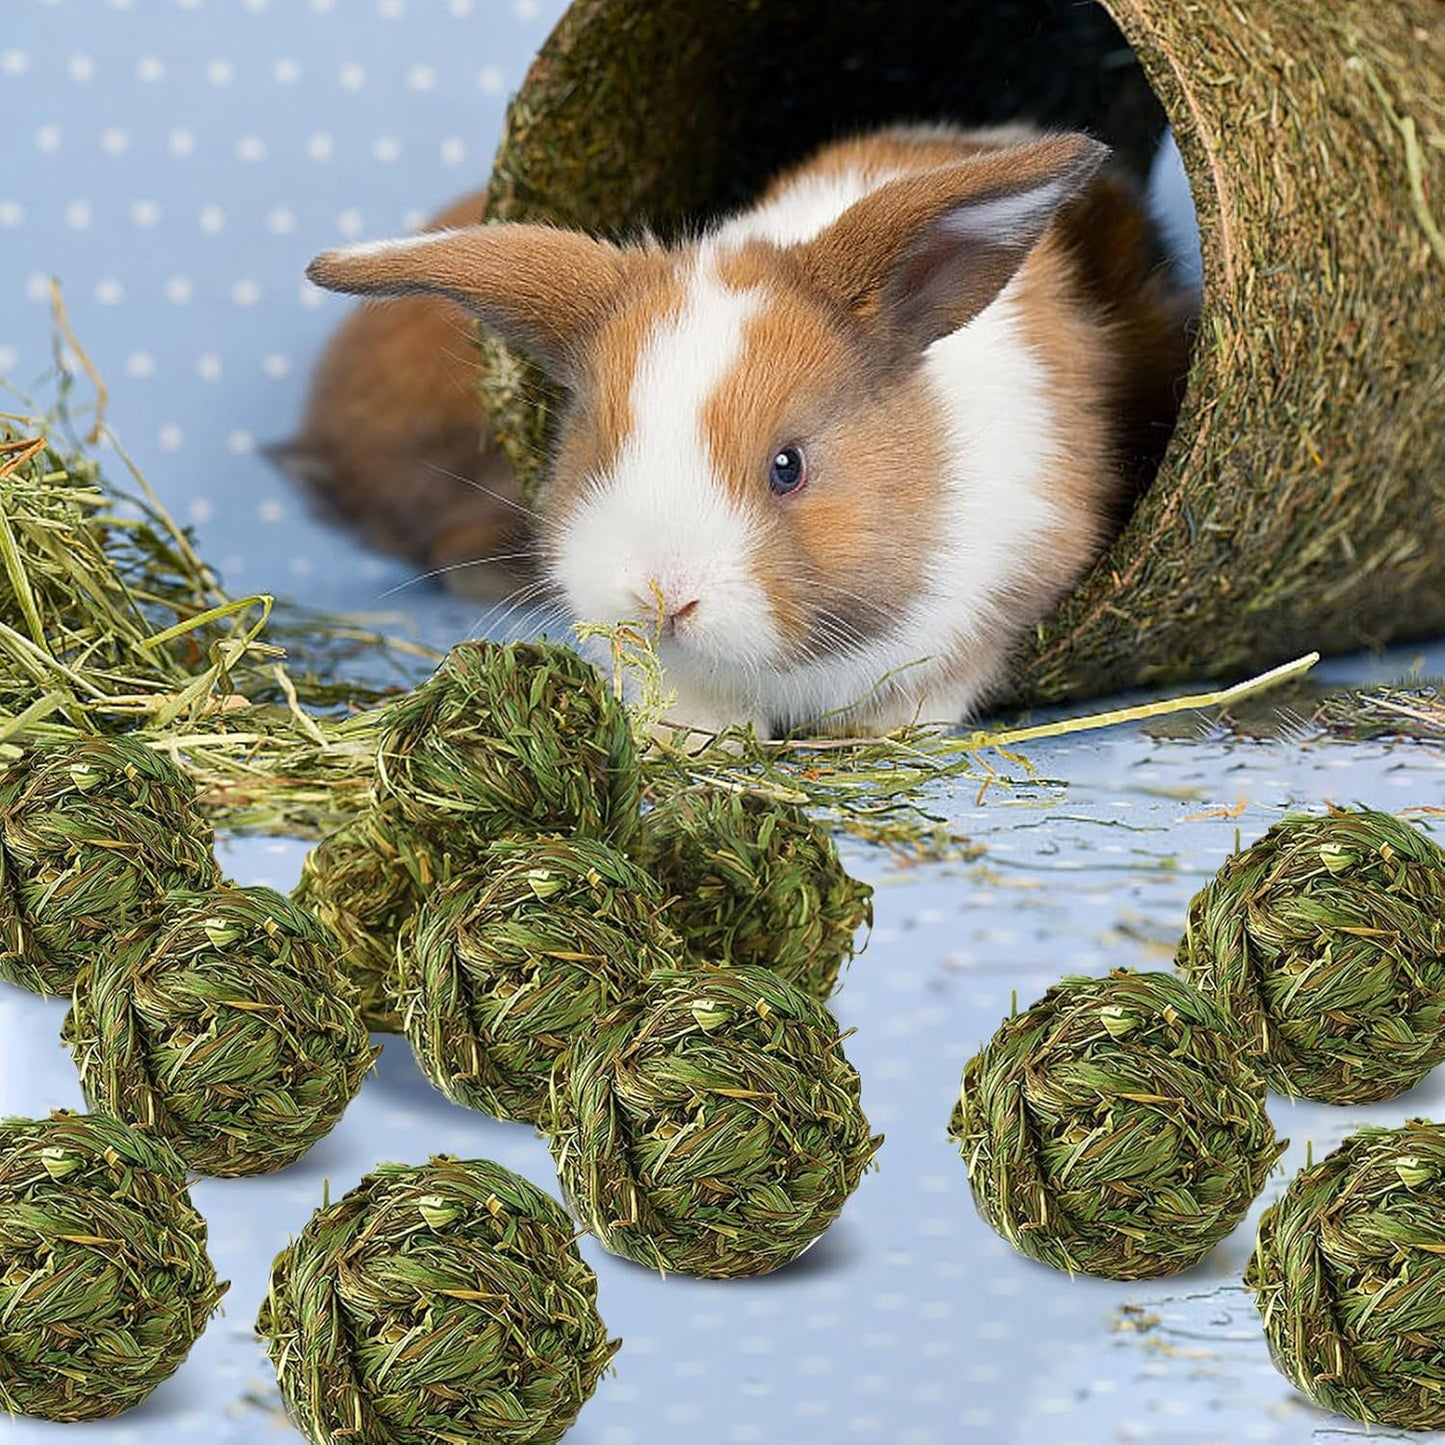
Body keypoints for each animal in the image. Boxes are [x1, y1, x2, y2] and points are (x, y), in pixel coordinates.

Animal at [304, 123, 1196, 736]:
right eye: (597, 447)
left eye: (787, 465)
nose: (662, 595)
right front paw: (691, 739)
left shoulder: (1005, 580)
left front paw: (877, 737)